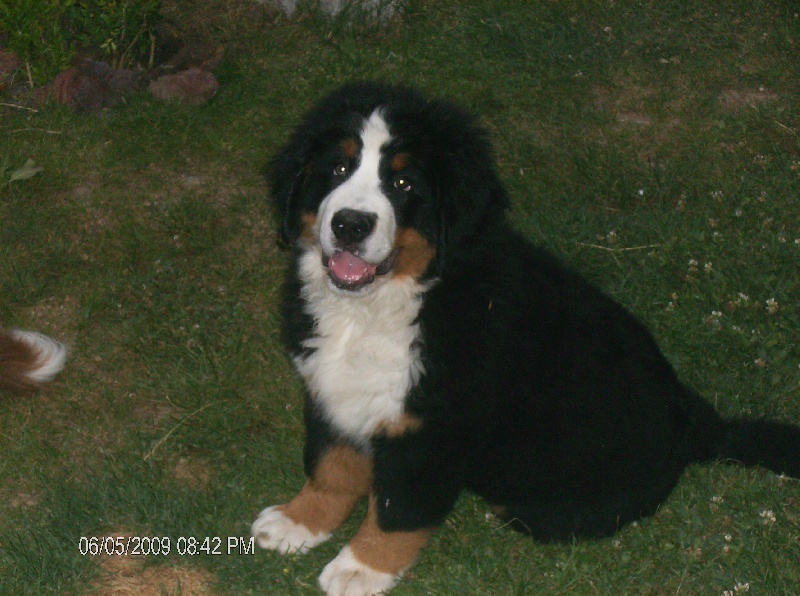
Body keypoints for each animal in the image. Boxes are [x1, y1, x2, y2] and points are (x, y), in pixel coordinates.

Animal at [251, 82, 800, 595]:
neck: (390, 302)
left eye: (403, 182)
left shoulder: (434, 428)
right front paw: (299, 521)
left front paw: (360, 567)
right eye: (336, 169)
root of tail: (697, 419)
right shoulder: (331, 394)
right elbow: (331, 467)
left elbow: (396, 508)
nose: (350, 224)